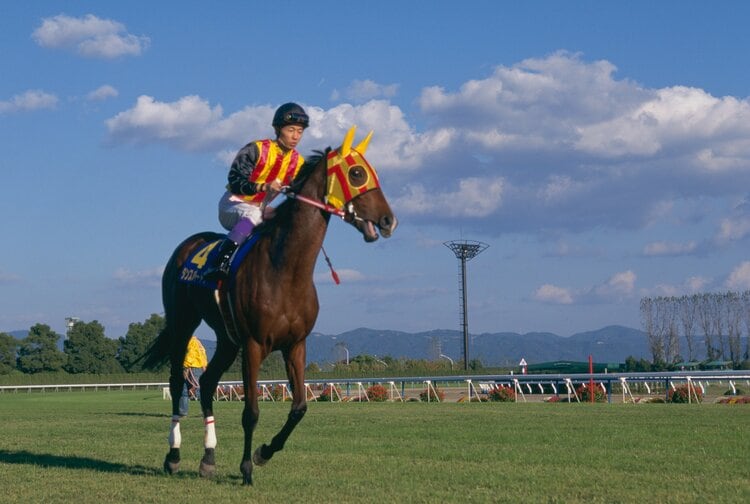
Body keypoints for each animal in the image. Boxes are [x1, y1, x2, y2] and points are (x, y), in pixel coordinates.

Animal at [142, 126, 400, 484]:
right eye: (357, 173)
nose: (389, 220)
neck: (286, 270)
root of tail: (186, 246)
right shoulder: (253, 344)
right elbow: (250, 411)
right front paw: (247, 468)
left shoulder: (295, 345)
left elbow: (300, 407)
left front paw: (263, 453)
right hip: (184, 322)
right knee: (179, 382)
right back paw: (174, 455)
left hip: (226, 338)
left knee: (206, 384)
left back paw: (208, 457)